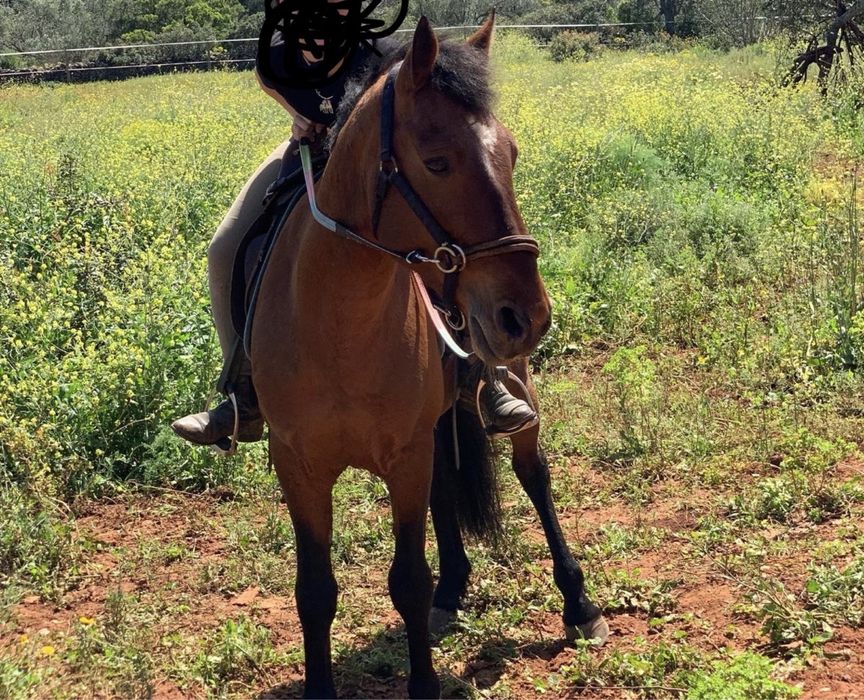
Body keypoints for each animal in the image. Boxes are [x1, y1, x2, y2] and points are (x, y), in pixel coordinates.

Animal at [251, 14, 608, 699]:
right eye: (438, 162)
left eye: (511, 154)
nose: (528, 316)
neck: (340, 323)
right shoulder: (298, 465)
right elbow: (315, 591)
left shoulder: (405, 454)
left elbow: (407, 581)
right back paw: (454, 588)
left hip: (511, 387)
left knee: (534, 473)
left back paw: (577, 603)